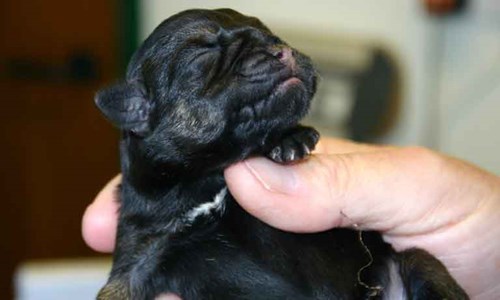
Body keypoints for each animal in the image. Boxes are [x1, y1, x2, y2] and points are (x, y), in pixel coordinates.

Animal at [94, 8, 468, 298]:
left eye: (271, 34)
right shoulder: (141, 254)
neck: (209, 176)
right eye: (203, 59)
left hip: (417, 260)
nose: (281, 50)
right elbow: (117, 288)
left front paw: (289, 139)